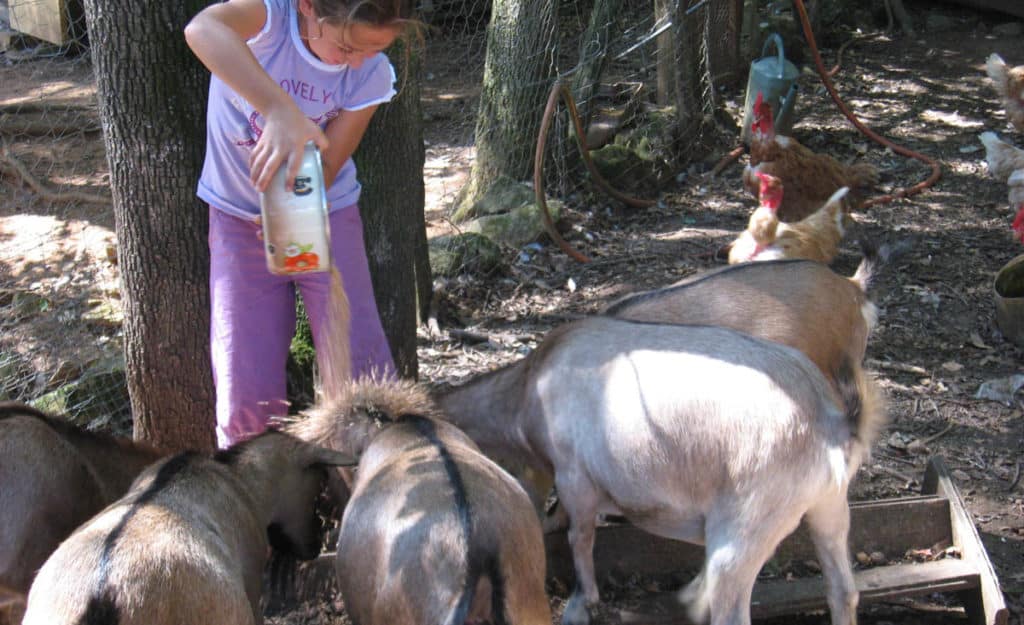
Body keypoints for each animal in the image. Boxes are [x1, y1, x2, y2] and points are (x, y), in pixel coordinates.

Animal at [436, 315, 884, 622]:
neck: (528, 391)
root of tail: (833, 421)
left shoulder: (575, 474)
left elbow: (580, 537)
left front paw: (583, 601)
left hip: (750, 518)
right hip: (829, 505)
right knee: (842, 590)